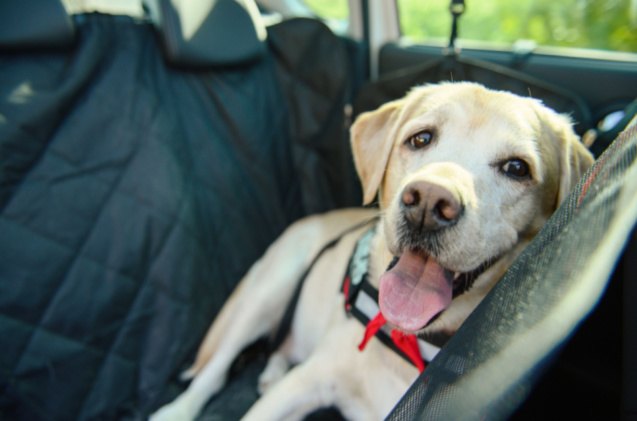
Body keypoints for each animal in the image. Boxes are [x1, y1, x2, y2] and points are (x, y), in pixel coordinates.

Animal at [152, 80, 592, 418]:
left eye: (517, 168)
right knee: (214, 371)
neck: (411, 340)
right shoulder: (306, 383)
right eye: (421, 138)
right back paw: (178, 409)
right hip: (271, 286)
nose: (428, 204)